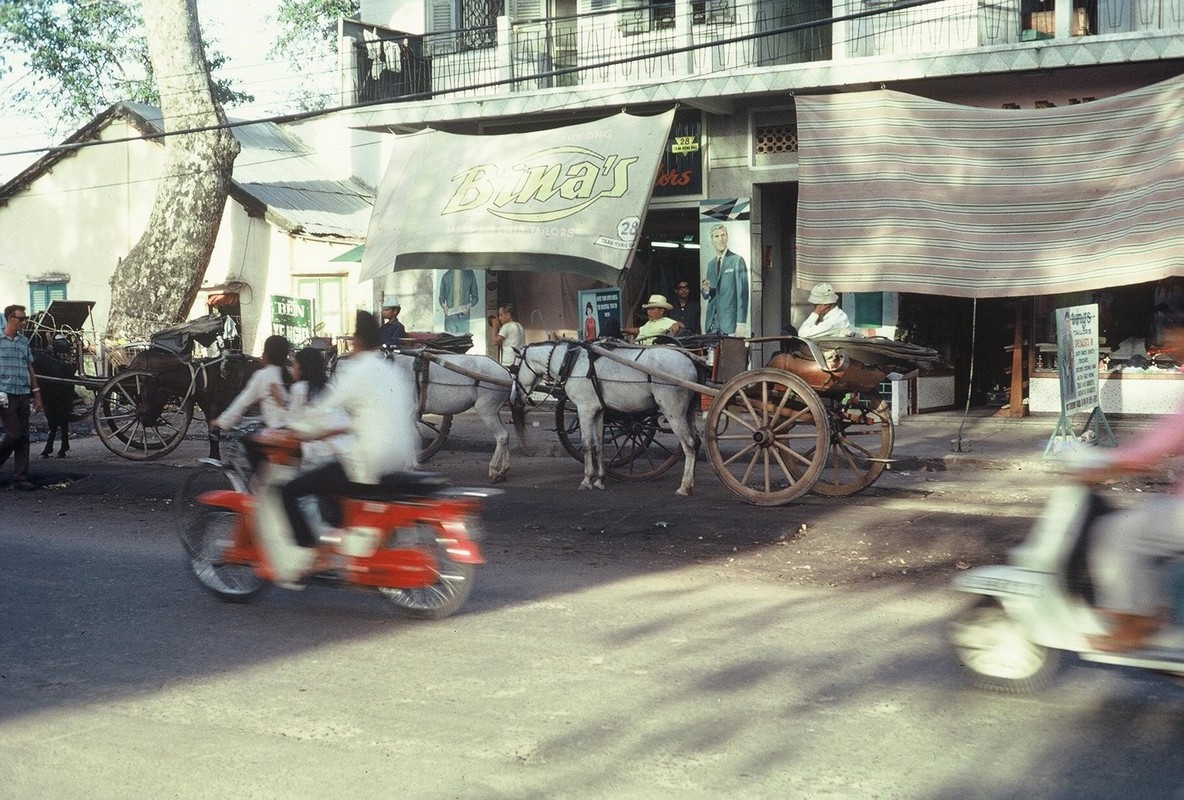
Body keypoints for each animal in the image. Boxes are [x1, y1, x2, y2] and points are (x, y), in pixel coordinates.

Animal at [388, 352, 523, 480]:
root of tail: (506, 372)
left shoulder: (406, 411)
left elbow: (407, 438)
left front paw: (408, 467)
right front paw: (411, 466)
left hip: (486, 410)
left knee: (502, 436)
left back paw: (494, 470)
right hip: (494, 411)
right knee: (506, 435)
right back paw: (504, 470)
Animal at [511, 338, 696, 494]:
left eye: (514, 370)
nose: (513, 399)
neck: (570, 362)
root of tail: (690, 361)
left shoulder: (584, 409)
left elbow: (586, 445)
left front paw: (587, 480)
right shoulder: (598, 410)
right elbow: (598, 445)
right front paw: (599, 479)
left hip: (673, 412)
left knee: (689, 445)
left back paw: (685, 486)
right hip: (686, 413)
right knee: (696, 441)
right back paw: (691, 481)